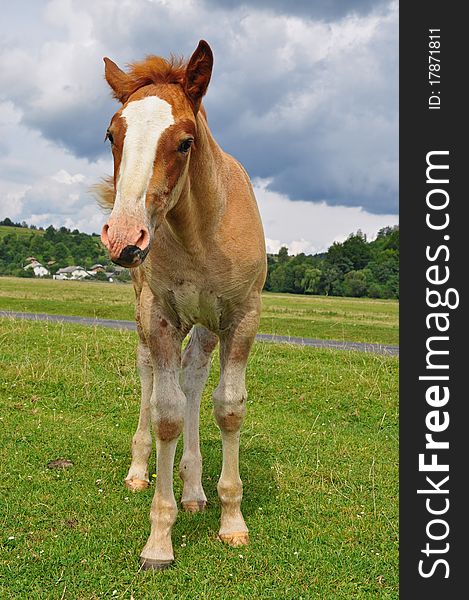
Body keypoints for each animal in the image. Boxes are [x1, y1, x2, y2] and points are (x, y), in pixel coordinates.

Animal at [97, 41, 266, 568]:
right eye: (112, 134)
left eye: (185, 142)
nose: (125, 238)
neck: (198, 231)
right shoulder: (161, 317)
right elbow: (166, 413)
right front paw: (159, 539)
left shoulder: (241, 318)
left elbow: (227, 407)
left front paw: (232, 521)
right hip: (147, 319)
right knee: (151, 375)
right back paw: (140, 471)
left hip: (207, 326)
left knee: (194, 379)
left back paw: (194, 490)